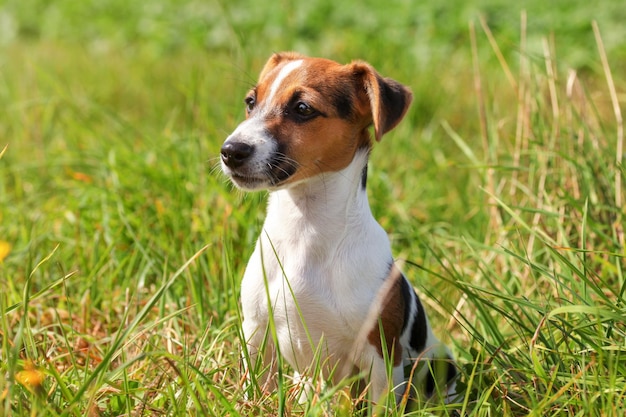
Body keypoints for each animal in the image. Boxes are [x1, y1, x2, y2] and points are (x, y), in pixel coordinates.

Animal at [222, 51, 456, 404]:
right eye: (251, 102)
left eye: (303, 108)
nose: (230, 151)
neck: (305, 228)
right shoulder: (256, 334)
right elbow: (257, 391)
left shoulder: (380, 354)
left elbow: (381, 404)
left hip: (440, 362)